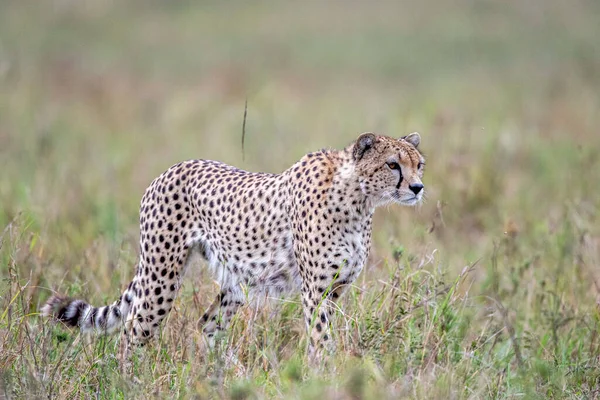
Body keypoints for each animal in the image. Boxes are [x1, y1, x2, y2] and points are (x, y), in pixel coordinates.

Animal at [42, 131, 424, 360]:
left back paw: (215, 374)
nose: (418, 187)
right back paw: (128, 380)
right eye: (393, 164)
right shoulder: (315, 291)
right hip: (160, 278)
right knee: (132, 331)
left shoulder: (335, 289)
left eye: (419, 164)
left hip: (232, 286)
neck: (359, 198)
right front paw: (325, 376)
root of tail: (171, 168)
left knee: (206, 324)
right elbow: (320, 339)